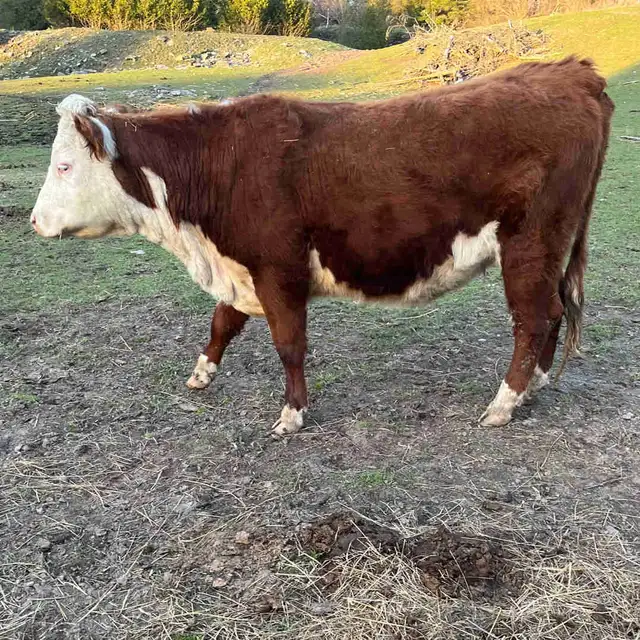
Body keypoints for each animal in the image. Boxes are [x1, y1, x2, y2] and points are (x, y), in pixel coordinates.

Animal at [31, 56, 614, 435]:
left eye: (64, 166)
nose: (35, 221)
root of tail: (573, 72)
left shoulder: (278, 270)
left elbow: (288, 344)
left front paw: (291, 414)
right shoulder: (242, 268)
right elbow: (222, 323)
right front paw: (201, 374)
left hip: (530, 244)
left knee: (533, 319)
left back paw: (503, 403)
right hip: (548, 251)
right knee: (554, 310)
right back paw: (535, 385)